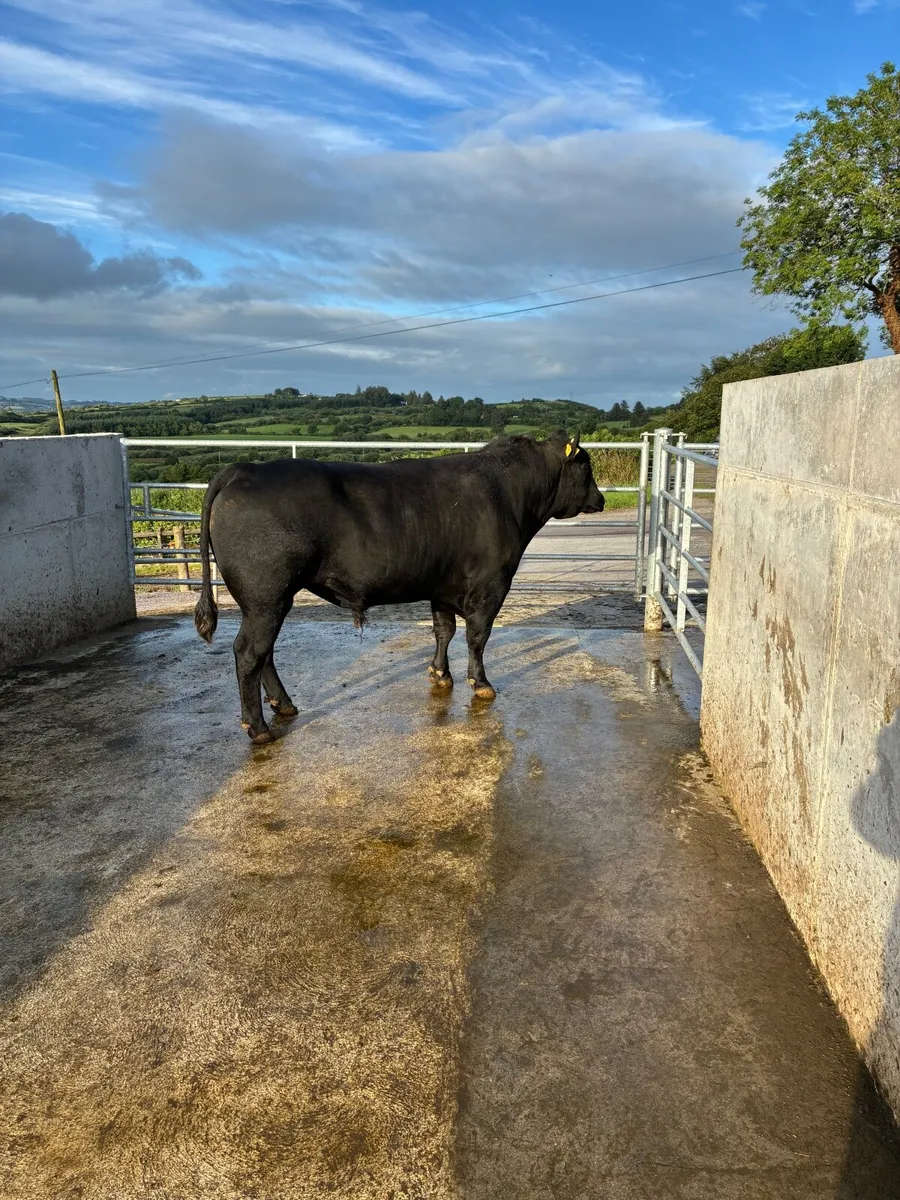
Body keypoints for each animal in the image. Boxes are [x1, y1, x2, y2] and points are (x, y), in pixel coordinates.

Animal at [194, 431, 604, 743]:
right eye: (585, 466)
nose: (600, 499)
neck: (509, 493)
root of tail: (244, 468)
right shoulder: (491, 585)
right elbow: (477, 636)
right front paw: (481, 682)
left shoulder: (442, 587)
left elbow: (443, 631)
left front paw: (440, 675)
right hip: (267, 597)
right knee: (249, 653)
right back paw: (258, 727)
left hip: (267, 601)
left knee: (264, 653)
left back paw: (285, 705)